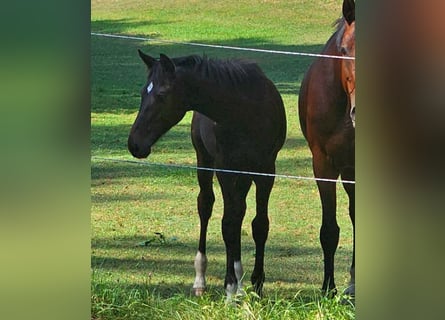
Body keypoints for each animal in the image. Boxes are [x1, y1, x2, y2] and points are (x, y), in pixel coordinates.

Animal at [127, 51, 288, 298]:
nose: (134, 144)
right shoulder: (224, 168)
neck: (245, 111)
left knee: (239, 211)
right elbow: (227, 225)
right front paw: (230, 287)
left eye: (161, 94)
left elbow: (259, 224)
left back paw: (240, 283)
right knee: (206, 205)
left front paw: (256, 284)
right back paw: (202, 280)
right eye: (143, 92)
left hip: (244, 174)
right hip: (204, 160)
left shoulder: (266, 170)